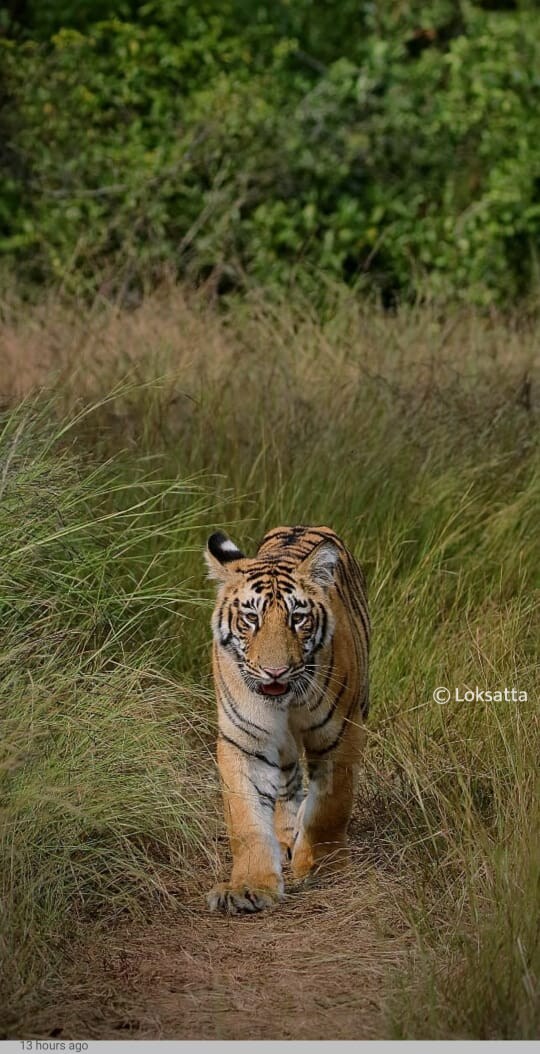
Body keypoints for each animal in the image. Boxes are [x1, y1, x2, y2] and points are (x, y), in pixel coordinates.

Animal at [204, 527, 369, 914]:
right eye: (251, 618)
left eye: (297, 618)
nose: (275, 671)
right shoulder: (245, 741)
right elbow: (247, 819)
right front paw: (249, 887)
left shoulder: (340, 734)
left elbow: (330, 805)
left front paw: (322, 865)